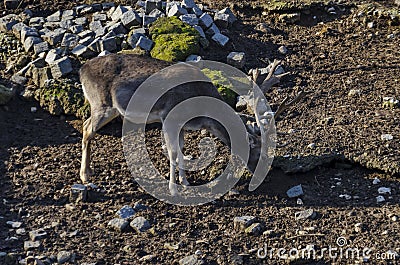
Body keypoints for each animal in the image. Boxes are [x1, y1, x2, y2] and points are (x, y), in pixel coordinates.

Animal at [77, 53, 304, 194]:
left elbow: (181, 148)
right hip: (101, 104)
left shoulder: (181, 124)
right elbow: (173, 152)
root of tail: (82, 69)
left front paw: (184, 181)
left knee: (86, 124)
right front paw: (173, 189)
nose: (263, 176)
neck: (202, 112)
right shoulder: (169, 117)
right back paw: (86, 176)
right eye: (261, 153)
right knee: (87, 128)